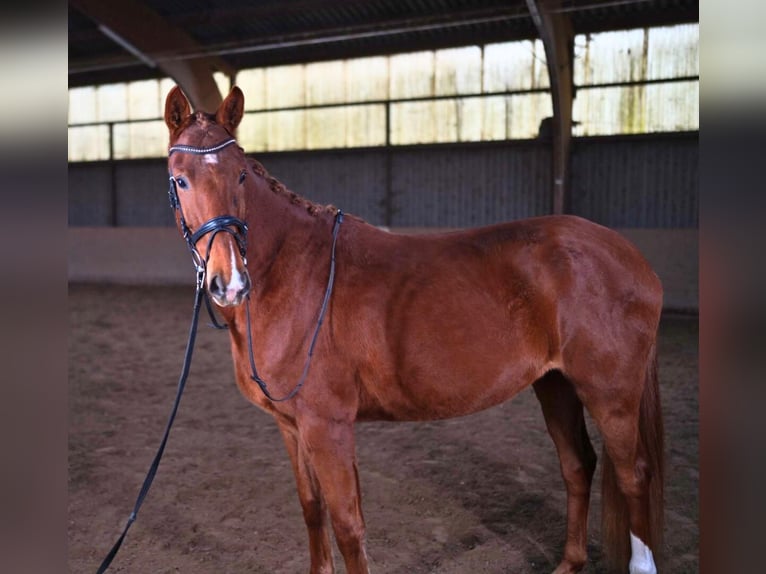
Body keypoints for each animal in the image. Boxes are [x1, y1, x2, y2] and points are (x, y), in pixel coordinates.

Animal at [163, 85, 664, 574]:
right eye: (180, 179)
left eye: (240, 176)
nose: (230, 282)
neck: (293, 272)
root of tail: (628, 254)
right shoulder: (291, 427)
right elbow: (312, 511)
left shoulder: (328, 427)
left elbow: (348, 527)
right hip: (556, 386)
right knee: (578, 466)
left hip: (610, 395)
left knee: (633, 474)